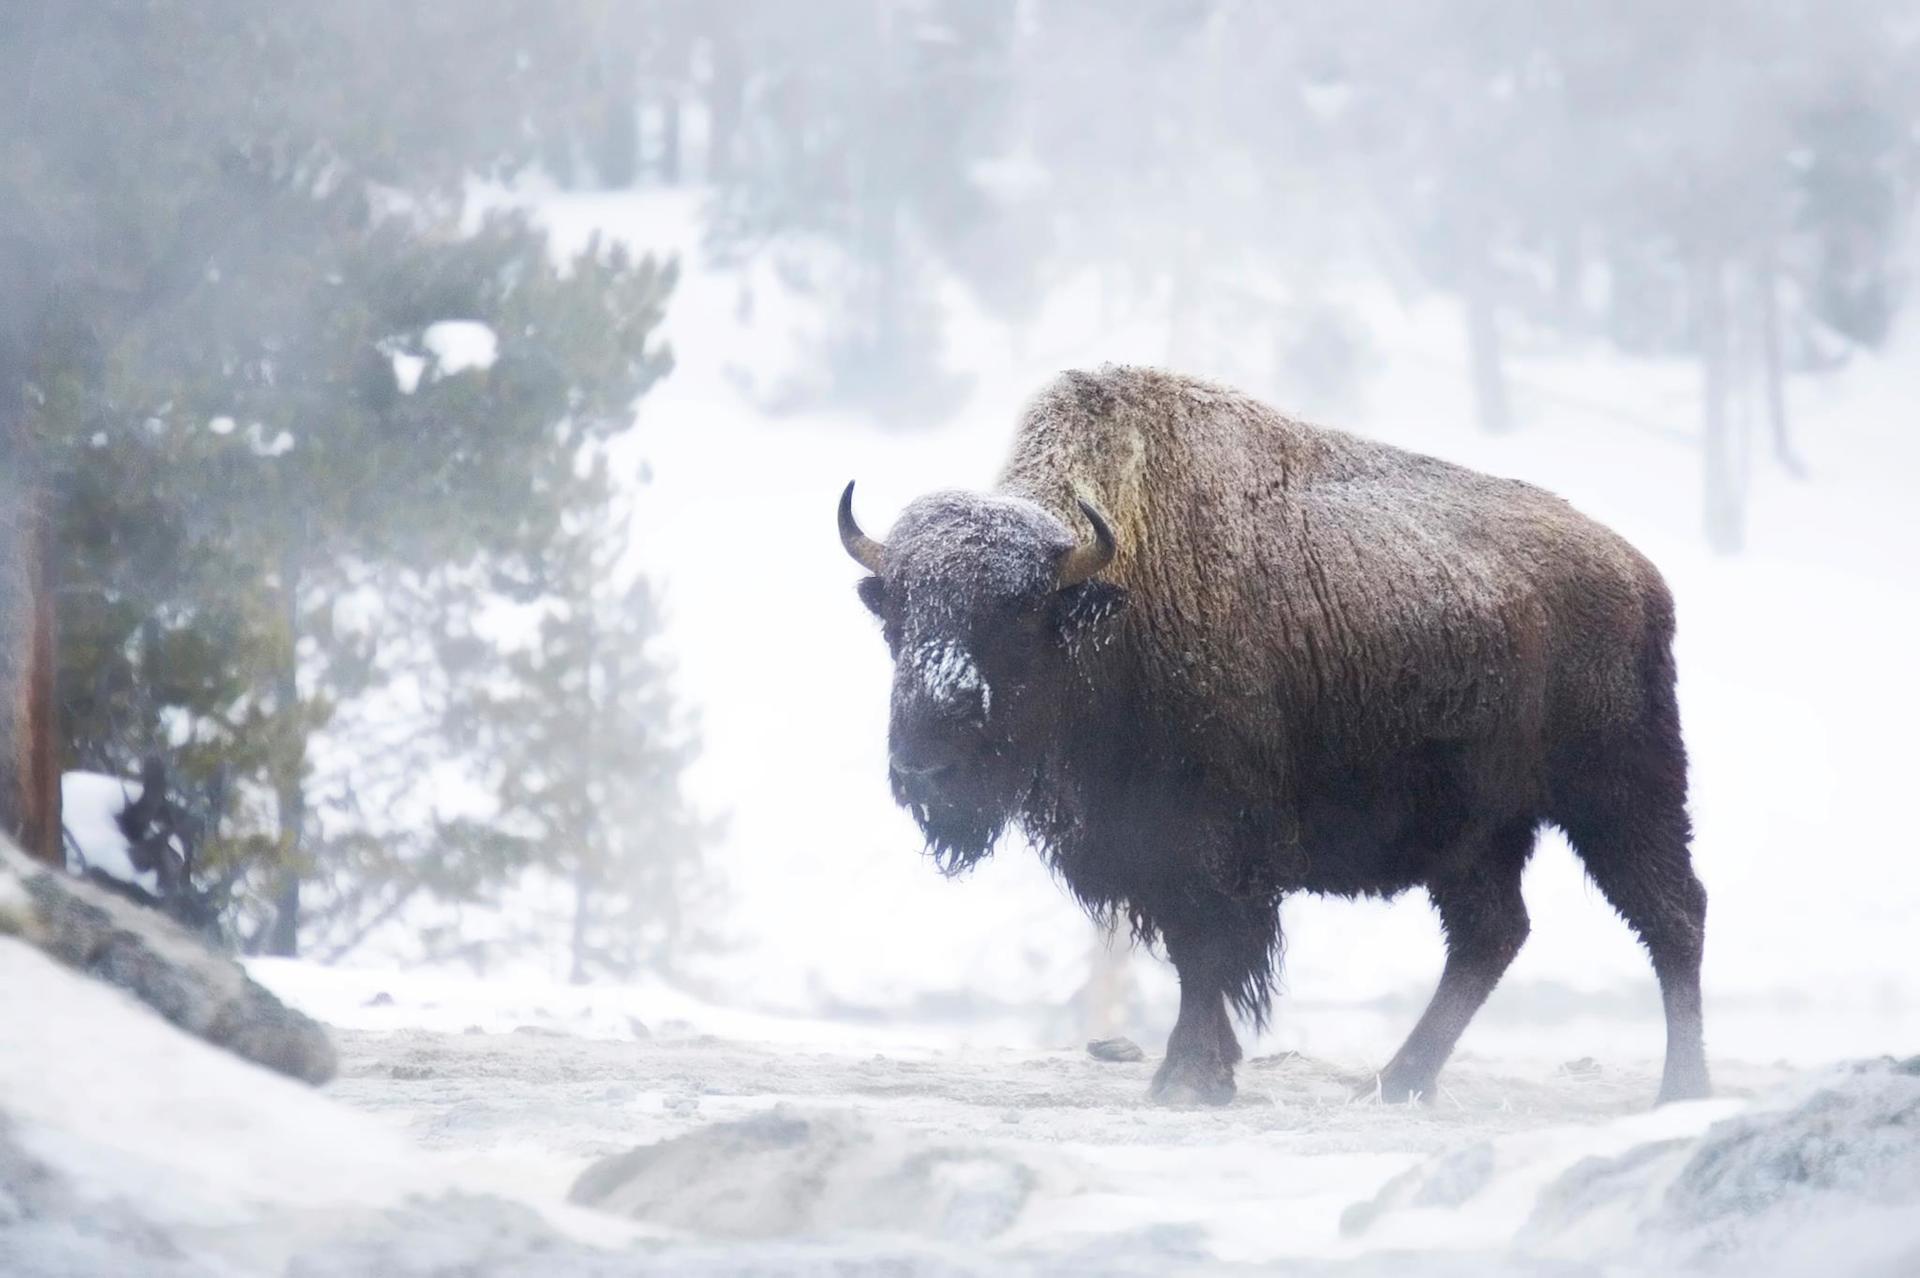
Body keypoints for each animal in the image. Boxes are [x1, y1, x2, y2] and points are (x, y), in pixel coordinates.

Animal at [840, 362, 1712, 1097]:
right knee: (1492, 935)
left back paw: (1682, 1088)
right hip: (1476, 833)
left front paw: (1189, 1079)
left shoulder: (1207, 842)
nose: (923, 768)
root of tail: (1641, 576)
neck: (1109, 597)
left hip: (1621, 796)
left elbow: (1206, 951)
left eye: (1017, 619)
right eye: (897, 616)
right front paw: (1205, 1068)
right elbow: (1192, 953)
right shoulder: (1144, 847)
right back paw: (1397, 1082)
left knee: (1672, 916)